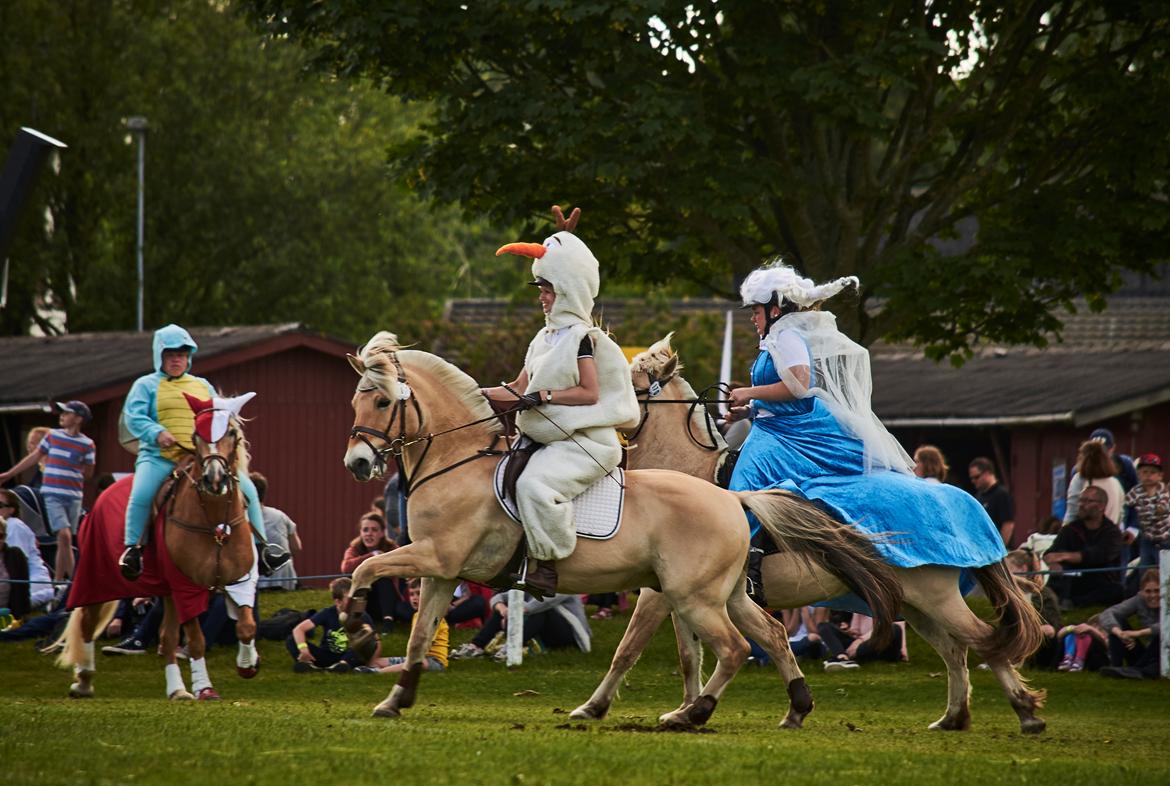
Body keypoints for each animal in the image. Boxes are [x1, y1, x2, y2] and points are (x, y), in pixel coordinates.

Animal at [56, 392, 260, 701]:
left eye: (232, 433)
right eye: (195, 435)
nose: (214, 479)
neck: (214, 522)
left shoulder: (239, 581)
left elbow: (246, 626)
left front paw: (247, 665)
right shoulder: (186, 587)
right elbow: (196, 640)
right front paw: (205, 688)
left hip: (166, 591)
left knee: (166, 638)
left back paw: (177, 690)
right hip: (98, 579)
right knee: (88, 624)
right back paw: (84, 681)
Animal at [341, 332, 898, 729]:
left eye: (384, 403)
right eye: (355, 404)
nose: (358, 464)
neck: (455, 463)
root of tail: (731, 499)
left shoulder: (434, 556)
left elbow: (367, 567)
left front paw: (357, 626)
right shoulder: (441, 569)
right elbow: (418, 636)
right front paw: (396, 699)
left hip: (693, 596)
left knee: (737, 648)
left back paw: (695, 714)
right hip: (724, 593)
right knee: (772, 635)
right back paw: (791, 708)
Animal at [594, 334, 1053, 734]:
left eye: (626, 383)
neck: (688, 478)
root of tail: (958, 498)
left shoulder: (659, 593)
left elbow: (629, 649)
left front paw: (605, 707)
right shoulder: (680, 594)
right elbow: (692, 654)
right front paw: (688, 709)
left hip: (938, 598)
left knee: (983, 643)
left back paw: (1026, 714)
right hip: (916, 603)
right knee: (956, 649)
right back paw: (953, 717)